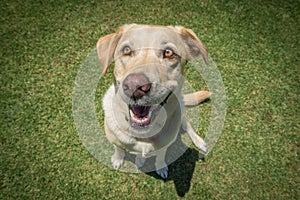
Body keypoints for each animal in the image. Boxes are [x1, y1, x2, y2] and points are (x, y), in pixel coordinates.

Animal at [97, 23, 210, 178]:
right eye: (126, 50)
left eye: (168, 53)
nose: (135, 86)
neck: (143, 135)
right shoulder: (115, 140)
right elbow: (119, 149)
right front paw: (117, 159)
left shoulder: (164, 146)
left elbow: (160, 156)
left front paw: (161, 167)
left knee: (188, 126)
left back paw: (199, 142)